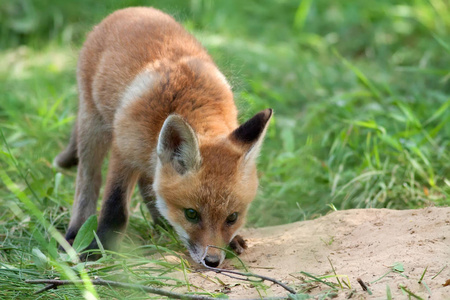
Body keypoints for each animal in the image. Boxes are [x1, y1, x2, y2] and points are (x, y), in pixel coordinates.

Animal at [52, 6, 270, 268]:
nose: (213, 261)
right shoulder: (124, 151)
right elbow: (115, 208)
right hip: (92, 126)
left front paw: (234, 239)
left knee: (147, 184)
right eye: (191, 214)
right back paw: (75, 233)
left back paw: (162, 224)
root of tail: (132, 10)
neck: (192, 102)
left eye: (232, 217)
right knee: (88, 180)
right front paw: (99, 248)